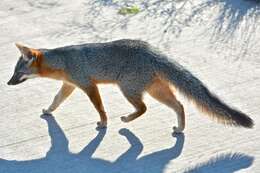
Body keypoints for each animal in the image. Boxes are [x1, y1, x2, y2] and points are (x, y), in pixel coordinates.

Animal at [7, 39, 253, 133]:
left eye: (18, 73)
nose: (7, 83)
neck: (64, 61)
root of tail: (151, 50)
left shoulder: (88, 85)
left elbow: (99, 107)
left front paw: (103, 123)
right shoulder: (70, 85)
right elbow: (56, 100)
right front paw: (49, 110)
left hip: (127, 89)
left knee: (144, 108)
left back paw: (126, 120)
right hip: (155, 90)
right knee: (180, 105)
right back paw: (180, 128)